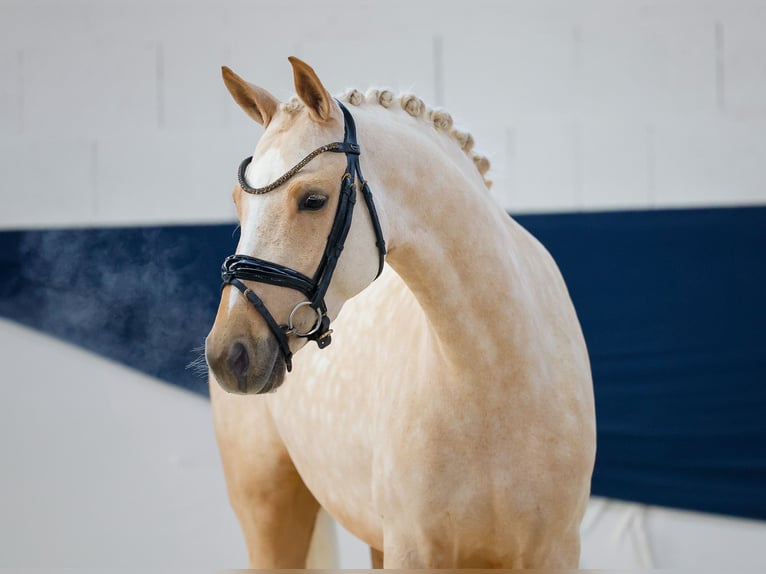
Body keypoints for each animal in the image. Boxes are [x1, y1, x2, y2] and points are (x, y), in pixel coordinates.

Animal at [206, 56, 600, 568]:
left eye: (312, 200)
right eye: (238, 203)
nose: (227, 354)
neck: (496, 378)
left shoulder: (552, 552)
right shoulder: (413, 550)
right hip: (270, 514)